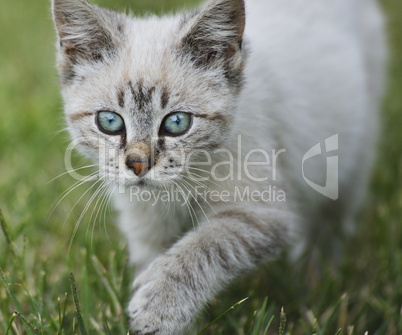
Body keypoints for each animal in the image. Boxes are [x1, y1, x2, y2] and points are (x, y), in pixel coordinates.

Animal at [51, 0, 386, 334]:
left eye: (176, 123)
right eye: (109, 121)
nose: (138, 165)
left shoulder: (261, 211)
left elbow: (203, 248)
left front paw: (157, 308)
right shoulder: (147, 224)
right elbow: (156, 258)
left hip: (350, 159)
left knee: (330, 225)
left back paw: (315, 281)